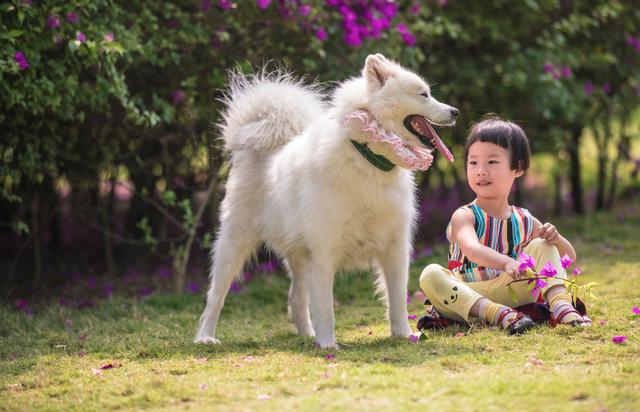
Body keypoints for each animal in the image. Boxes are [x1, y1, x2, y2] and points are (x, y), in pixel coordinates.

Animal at [192, 53, 458, 346]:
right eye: (423, 94)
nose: (456, 112)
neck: (368, 159)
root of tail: (257, 145)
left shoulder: (395, 248)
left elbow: (397, 299)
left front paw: (403, 335)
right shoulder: (324, 252)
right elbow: (326, 306)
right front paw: (329, 343)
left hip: (298, 255)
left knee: (295, 297)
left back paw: (308, 335)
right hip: (234, 243)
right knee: (215, 297)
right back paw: (205, 337)